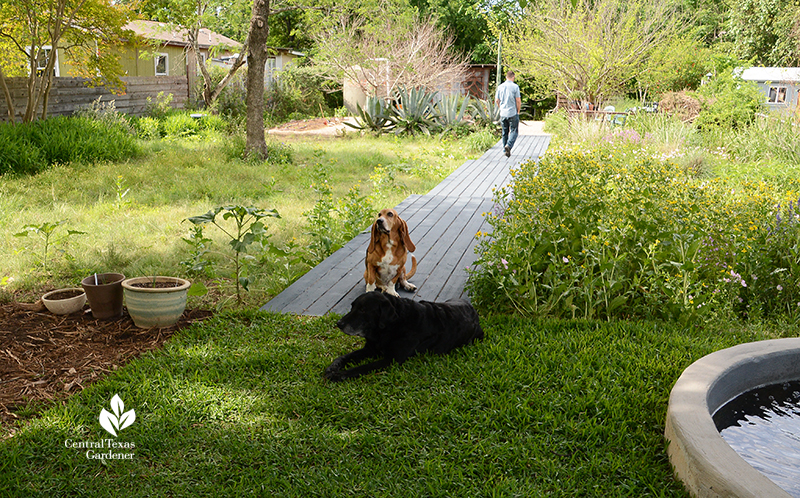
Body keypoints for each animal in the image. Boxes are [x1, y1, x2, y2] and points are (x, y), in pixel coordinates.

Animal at [324, 292, 484, 382]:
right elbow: (344, 357)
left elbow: (360, 368)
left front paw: (338, 375)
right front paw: (333, 367)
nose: (339, 323)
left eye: (363, 310)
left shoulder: (391, 359)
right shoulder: (370, 349)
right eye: (352, 307)